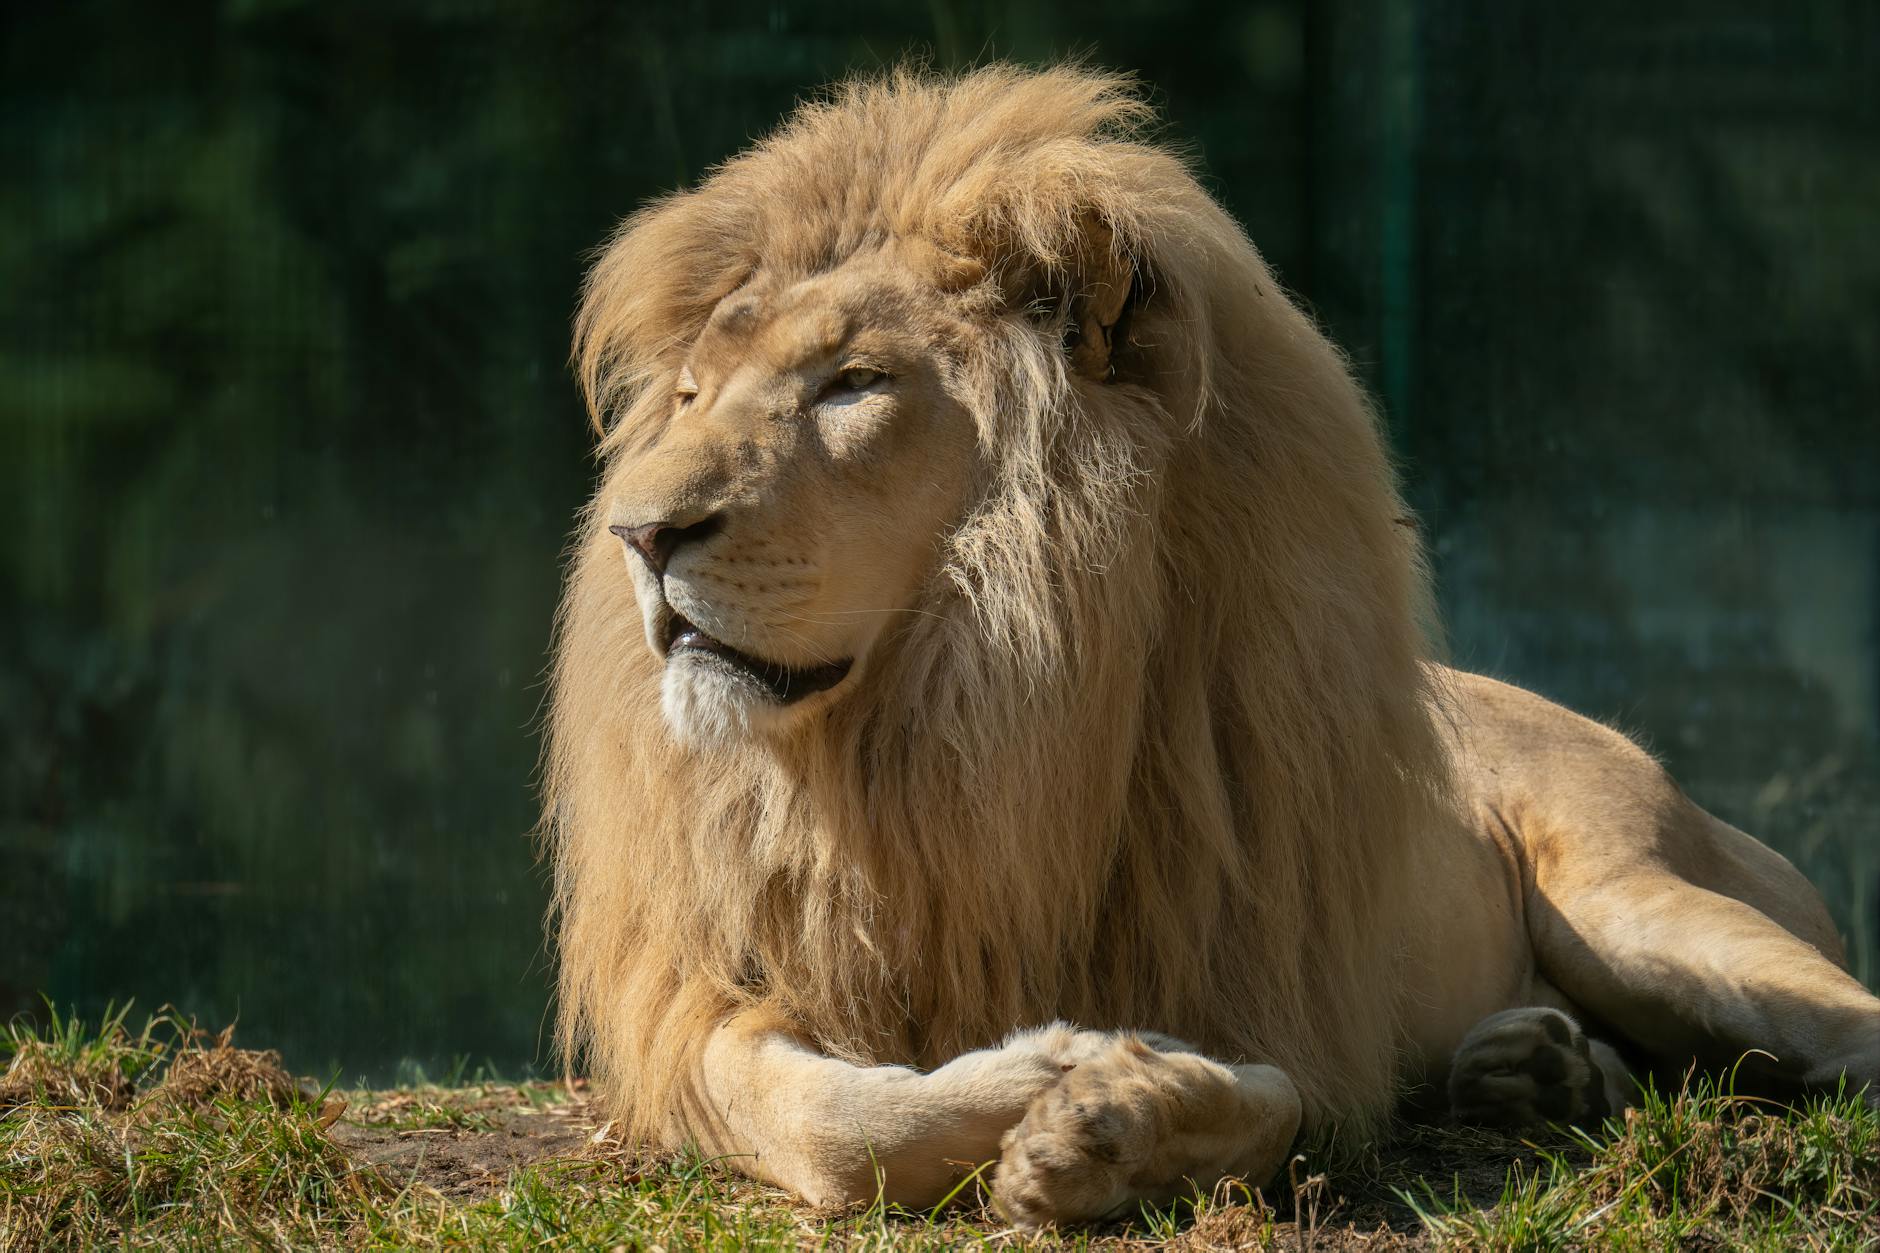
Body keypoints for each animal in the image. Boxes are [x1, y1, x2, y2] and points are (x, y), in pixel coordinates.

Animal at [544, 65, 1879, 1227]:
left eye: (852, 382)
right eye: (689, 396)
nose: (640, 534)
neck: (940, 738)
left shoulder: (1279, 995)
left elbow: (1273, 1096)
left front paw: (1111, 1110)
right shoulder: (701, 994)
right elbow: (831, 1124)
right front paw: (1060, 1077)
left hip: (1639, 902)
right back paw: (1537, 1069)